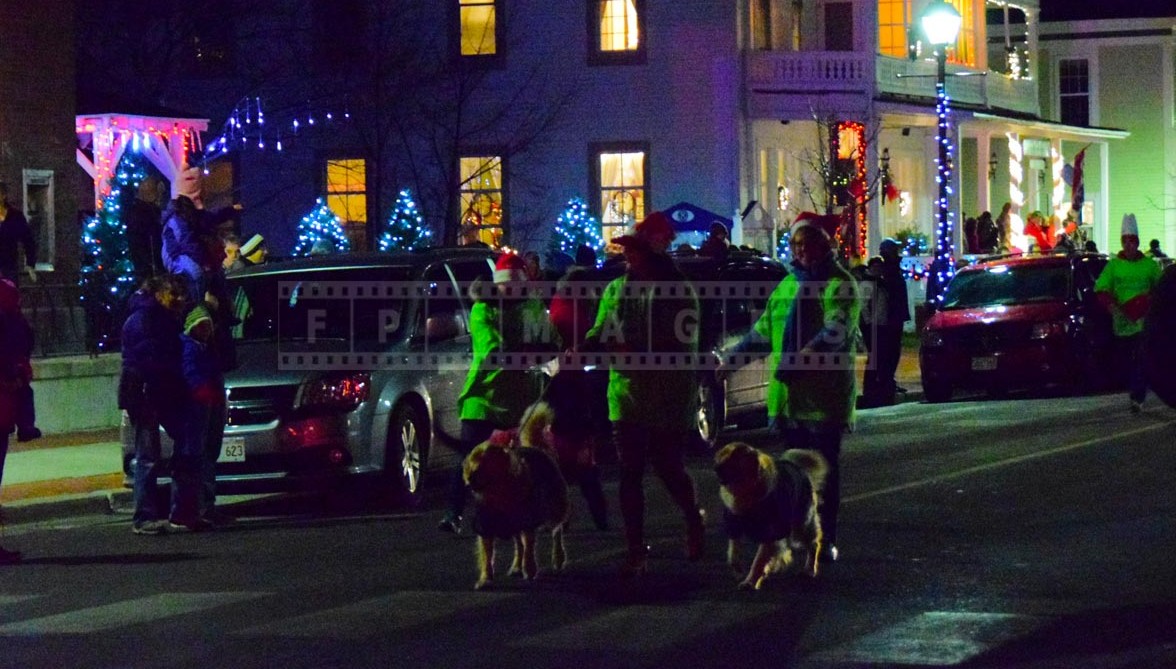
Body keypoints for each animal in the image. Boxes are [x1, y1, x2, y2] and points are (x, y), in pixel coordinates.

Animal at [458, 430, 569, 587]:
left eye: (482, 463)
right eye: (470, 463)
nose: (468, 480)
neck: (499, 493)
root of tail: (535, 447)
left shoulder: (527, 522)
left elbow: (529, 548)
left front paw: (529, 569)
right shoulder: (485, 527)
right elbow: (487, 555)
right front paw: (485, 578)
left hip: (554, 508)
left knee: (556, 531)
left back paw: (558, 557)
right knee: (519, 544)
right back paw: (517, 566)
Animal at [705, 444, 827, 590]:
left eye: (733, 457)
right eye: (721, 456)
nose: (715, 468)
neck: (747, 492)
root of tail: (796, 466)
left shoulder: (769, 533)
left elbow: (758, 561)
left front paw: (750, 582)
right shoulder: (734, 525)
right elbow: (734, 551)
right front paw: (737, 567)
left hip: (801, 524)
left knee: (813, 544)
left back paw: (809, 569)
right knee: (783, 549)